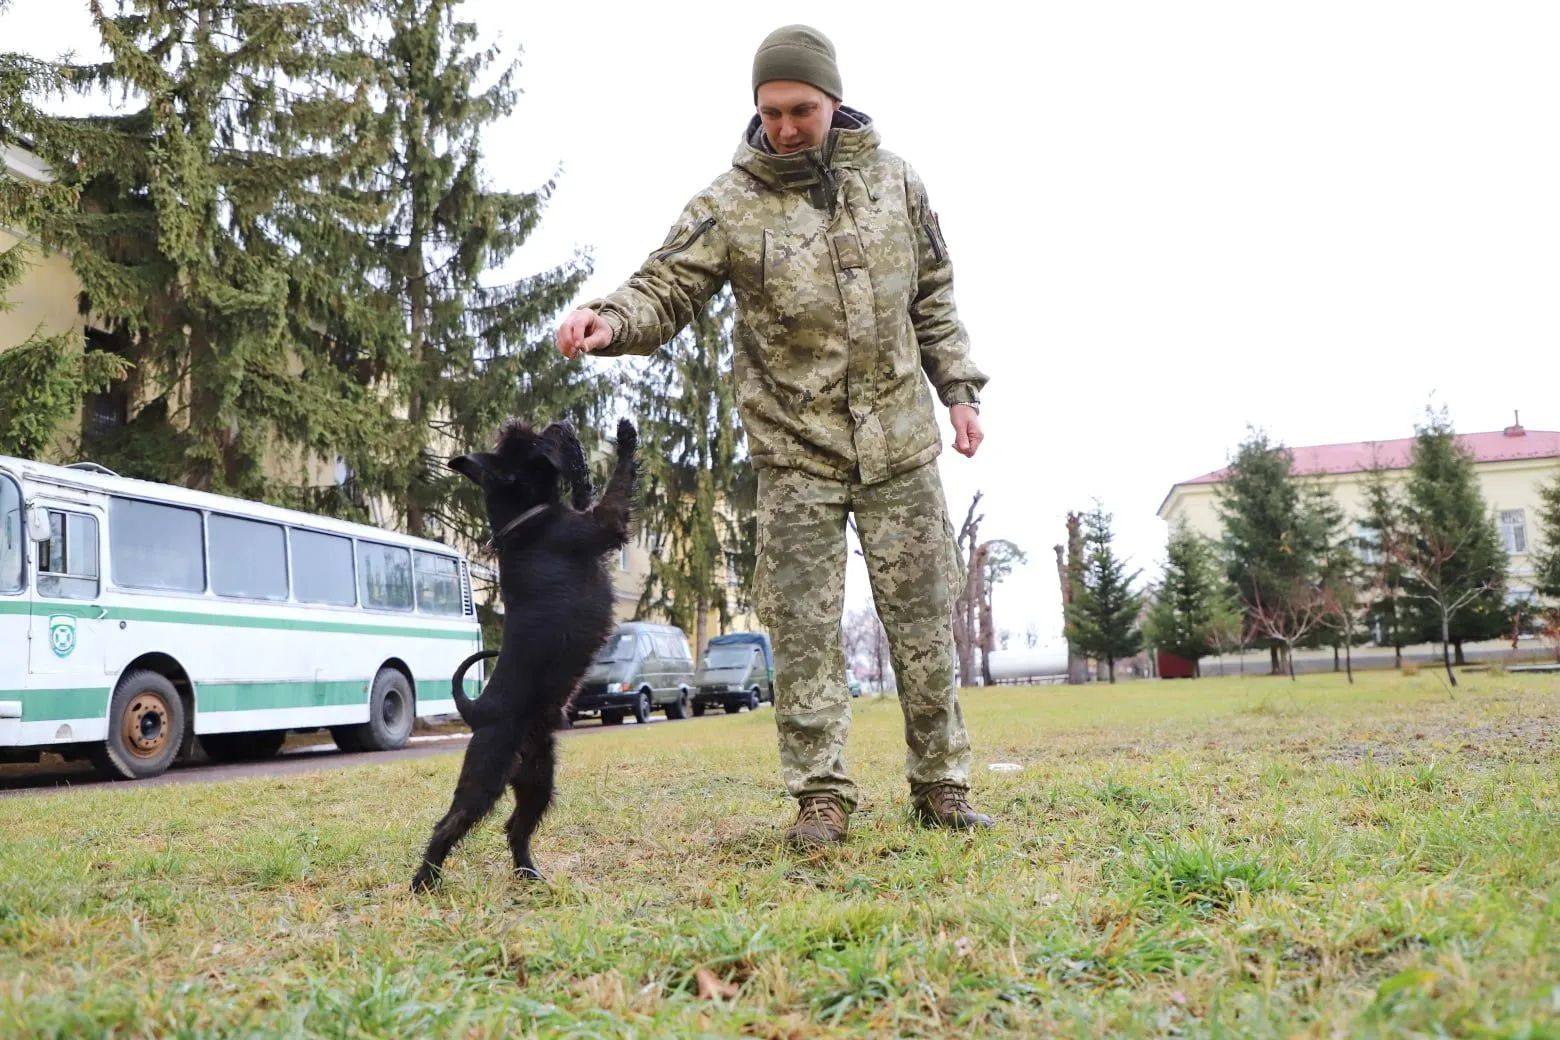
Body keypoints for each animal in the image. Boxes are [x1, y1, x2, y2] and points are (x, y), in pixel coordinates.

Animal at [411, 417, 642, 898]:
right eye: (529, 440)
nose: (559, 423)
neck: (523, 519)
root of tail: (476, 711)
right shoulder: (604, 523)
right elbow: (619, 484)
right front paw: (626, 436)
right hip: (485, 777)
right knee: (449, 823)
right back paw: (424, 882)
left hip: (538, 780)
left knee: (515, 827)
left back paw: (530, 874)